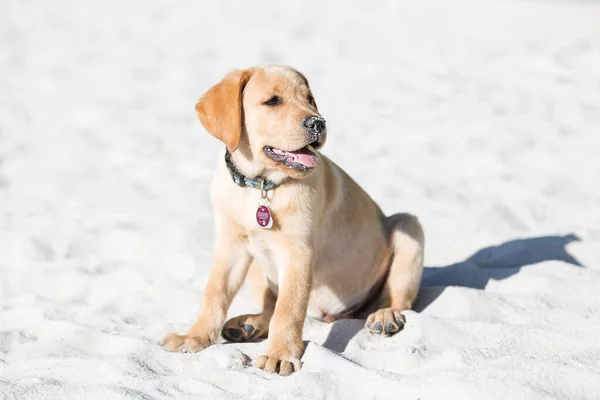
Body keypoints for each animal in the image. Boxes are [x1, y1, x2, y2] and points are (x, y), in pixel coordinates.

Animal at [162, 65, 424, 376]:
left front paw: (279, 355)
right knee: (268, 307)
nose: (318, 123)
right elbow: (215, 294)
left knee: (398, 299)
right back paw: (248, 325)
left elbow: (288, 309)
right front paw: (195, 336)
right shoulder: (231, 245)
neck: (260, 186)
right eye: (273, 101)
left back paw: (386, 315)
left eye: (310, 99)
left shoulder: (298, 251)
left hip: (409, 227)